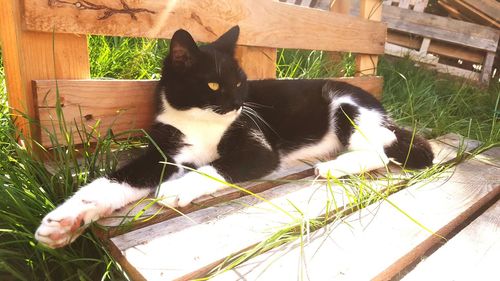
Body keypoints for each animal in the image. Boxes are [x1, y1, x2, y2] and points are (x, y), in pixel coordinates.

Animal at [35, 25, 434, 246]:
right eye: (214, 84)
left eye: (242, 82)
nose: (240, 103)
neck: (201, 122)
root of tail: (378, 105)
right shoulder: (167, 148)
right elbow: (116, 180)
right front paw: (64, 222)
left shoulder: (259, 149)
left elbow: (217, 166)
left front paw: (180, 187)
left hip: (345, 105)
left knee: (382, 149)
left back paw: (336, 167)